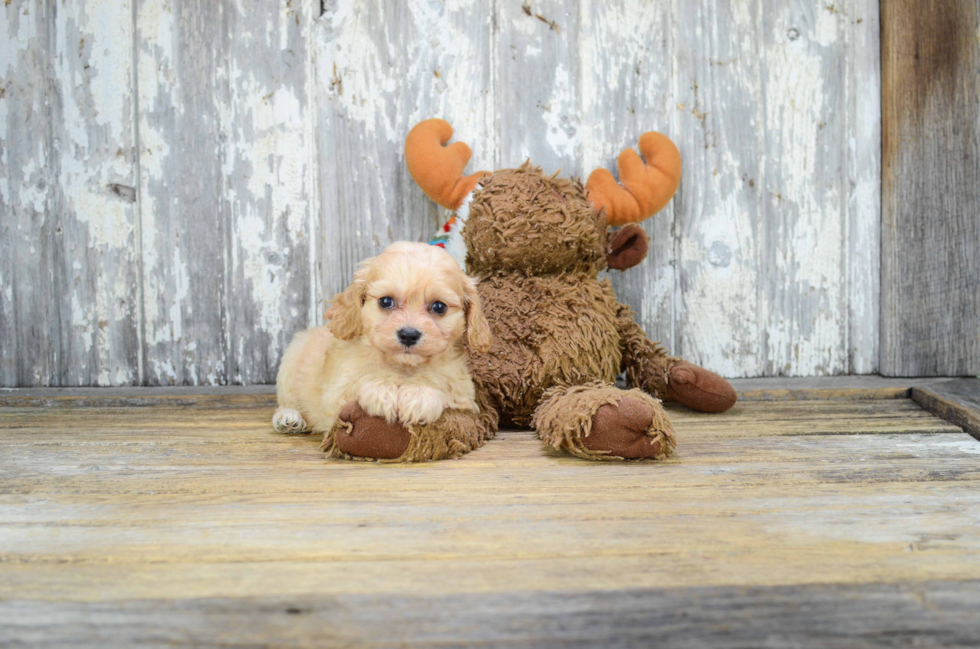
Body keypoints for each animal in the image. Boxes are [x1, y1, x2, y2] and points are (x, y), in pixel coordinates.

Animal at [272, 240, 494, 438]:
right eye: (386, 301)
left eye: (439, 307)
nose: (409, 335)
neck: (403, 366)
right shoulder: (337, 391)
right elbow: (362, 380)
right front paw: (382, 390)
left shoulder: (464, 396)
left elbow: (442, 385)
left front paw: (419, 396)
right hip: (291, 361)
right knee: (287, 400)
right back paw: (289, 418)